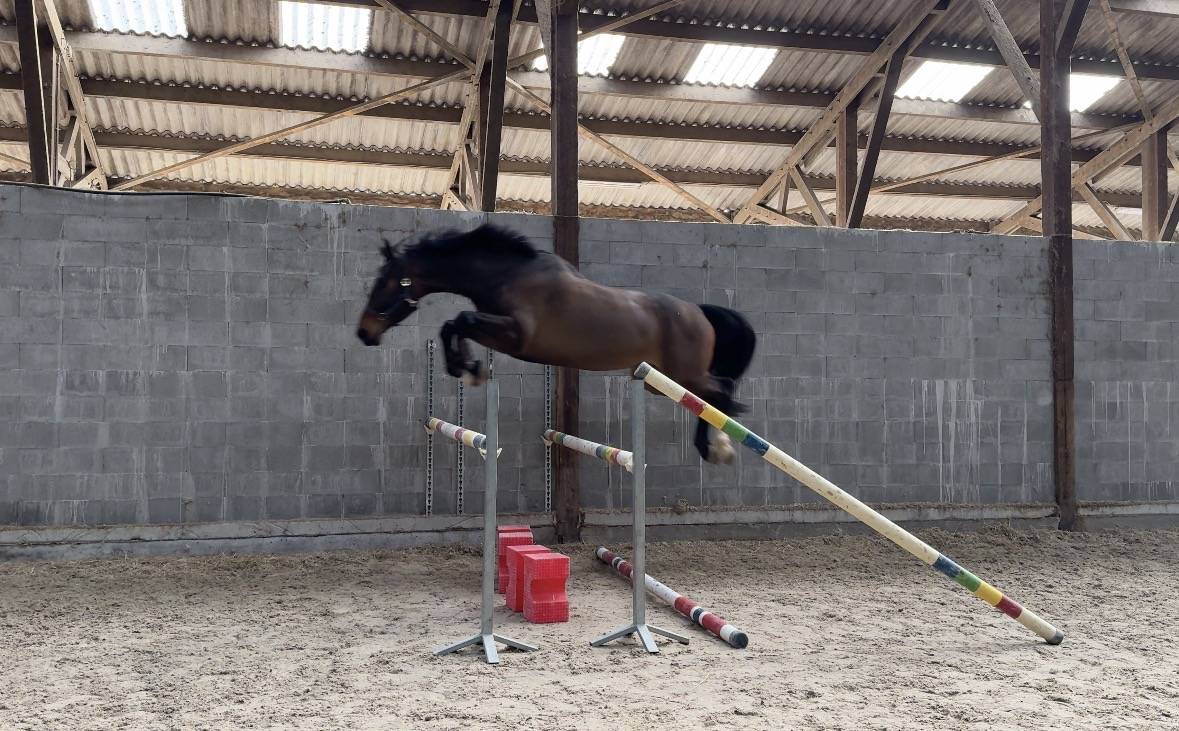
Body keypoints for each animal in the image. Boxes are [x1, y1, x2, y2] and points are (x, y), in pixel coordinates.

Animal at [355, 224, 757, 464]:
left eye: (386, 282)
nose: (364, 333)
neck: (509, 275)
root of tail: (698, 311)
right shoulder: (502, 332)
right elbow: (452, 324)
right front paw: (467, 368)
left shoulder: (517, 336)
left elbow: (462, 320)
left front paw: (468, 369)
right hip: (661, 383)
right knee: (711, 398)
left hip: (682, 376)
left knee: (721, 391)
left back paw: (717, 449)